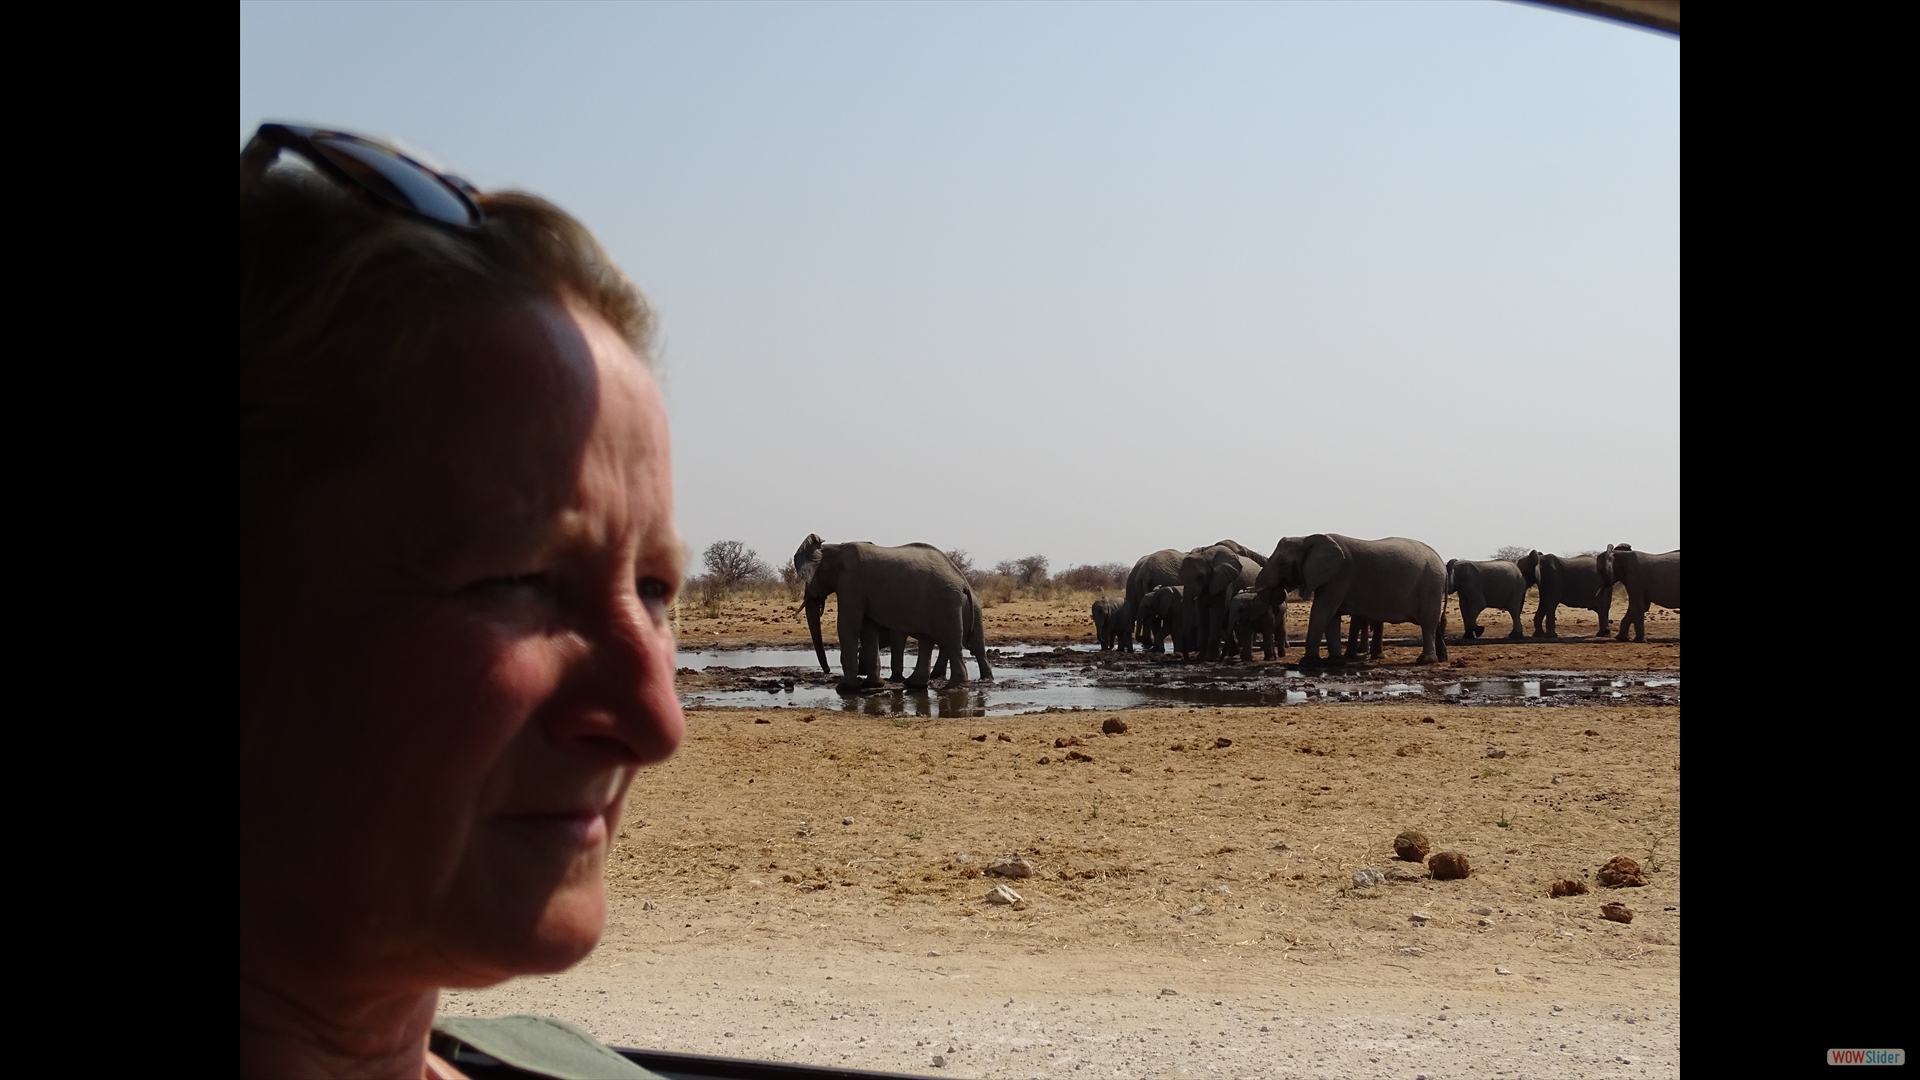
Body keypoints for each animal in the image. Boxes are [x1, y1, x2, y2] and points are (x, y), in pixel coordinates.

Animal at [791, 530, 998, 687]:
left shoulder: (852, 583)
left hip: (946, 601)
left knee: (951, 641)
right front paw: (874, 684)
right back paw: (918, 683)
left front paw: (847, 687)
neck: (835, 548)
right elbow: (868, 628)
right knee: (938, 640)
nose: (827, 671)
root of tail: (962, 580)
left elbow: (848, 625)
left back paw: (955, 686)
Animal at [1251, 530, 1443, 664]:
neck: (1306, 538)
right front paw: (1335, 661)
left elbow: (1322, 611)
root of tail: (1440, 559)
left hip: (1431, 585)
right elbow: (1331, 616)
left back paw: (1425, 661)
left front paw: (1307, 662)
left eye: (1282, 563)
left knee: (1428, 624)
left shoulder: (1338, 575)